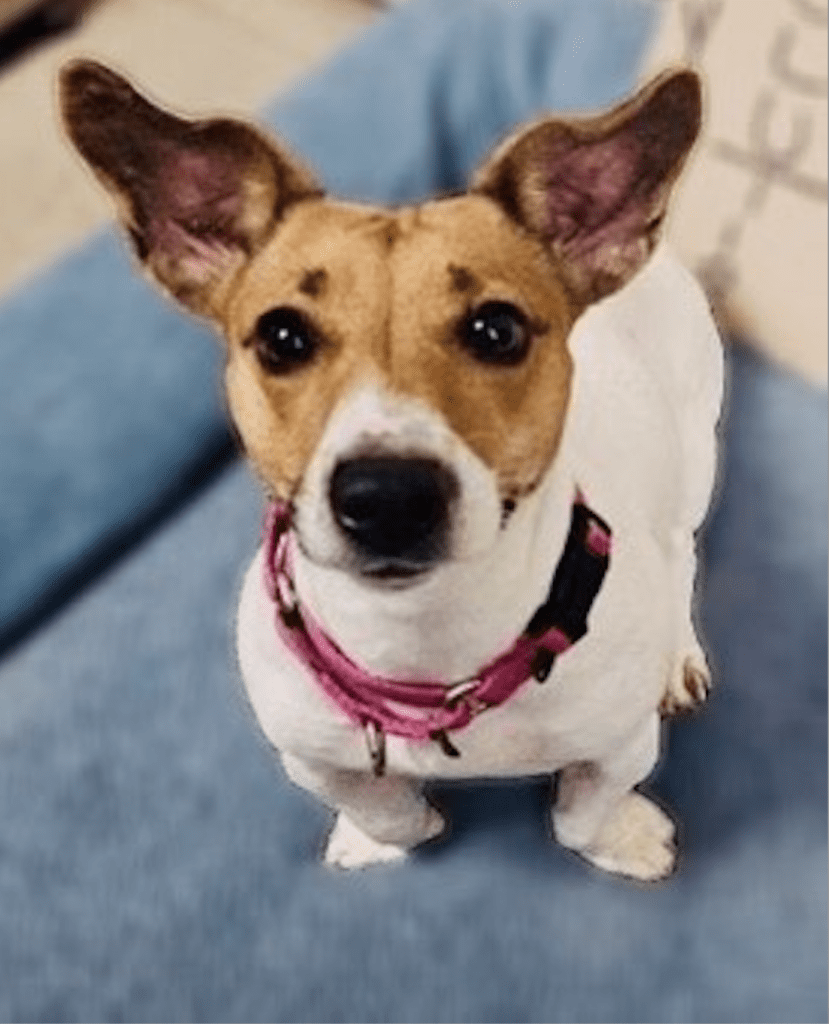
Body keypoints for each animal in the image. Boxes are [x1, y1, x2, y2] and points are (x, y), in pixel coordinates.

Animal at [59, 58, 716, 880]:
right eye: (281, 336)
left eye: (497, 329)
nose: (388, 497)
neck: (424, 647)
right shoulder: (311, 754)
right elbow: (383, 805)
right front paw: (381, 835)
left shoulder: (620, 743)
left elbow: (579, 815)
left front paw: (623, 839)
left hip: (694, 456)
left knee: (683, 553)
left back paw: (679, 652)